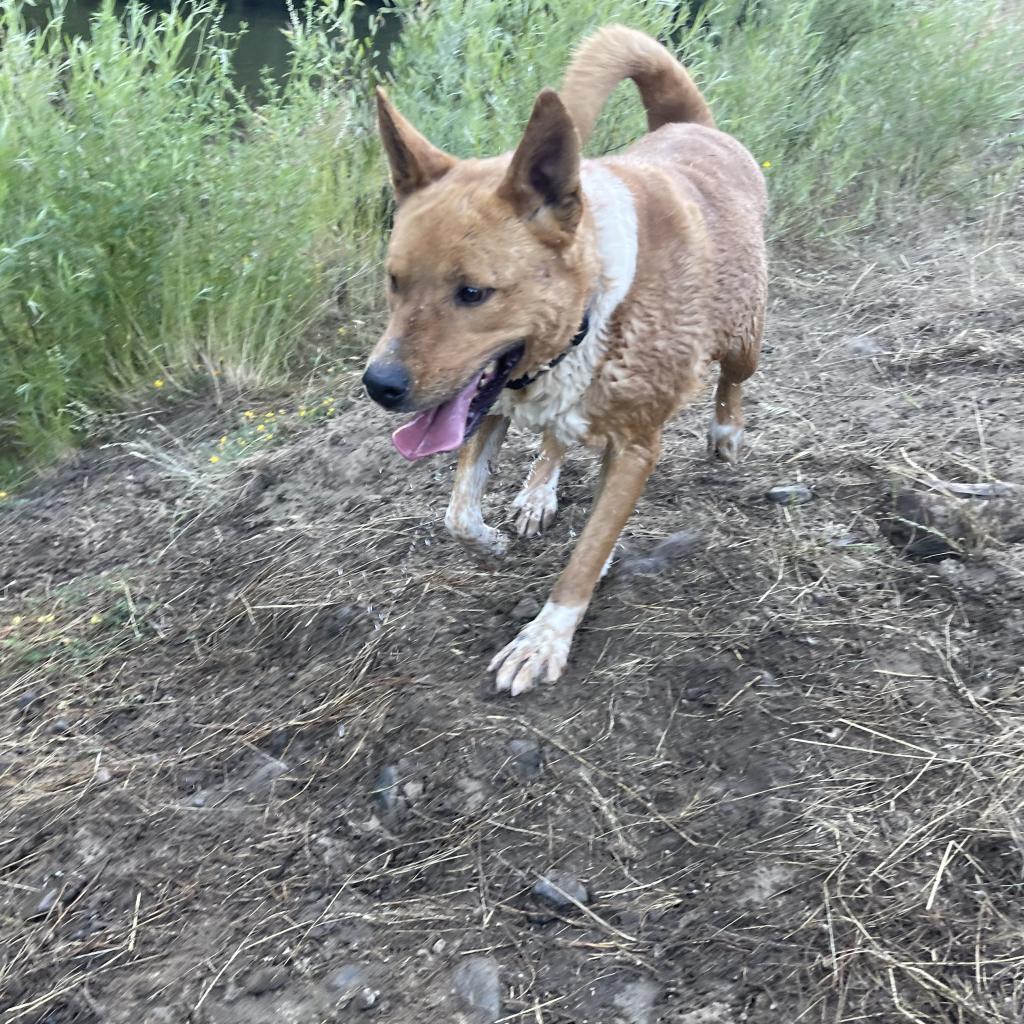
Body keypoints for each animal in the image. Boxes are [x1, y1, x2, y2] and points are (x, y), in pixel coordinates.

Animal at [364, 25, 765, 696]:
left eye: (472, 292)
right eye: (394, 281)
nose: (379, 384)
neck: (592, 306)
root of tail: (689, 122)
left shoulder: (636, 447)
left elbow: (585, 554)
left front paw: (545, 637)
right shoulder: (493, 403)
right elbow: (458, 513)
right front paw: (493, 540)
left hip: (745, 336)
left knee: (732, 379)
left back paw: (726, 430)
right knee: (556, 438)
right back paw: (538, 491)